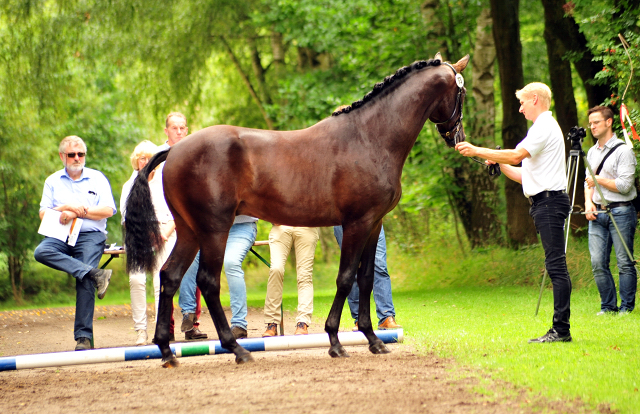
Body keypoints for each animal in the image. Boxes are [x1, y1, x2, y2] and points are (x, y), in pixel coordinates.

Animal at [127, 54, 470, 366]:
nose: (457, 138)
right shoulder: (357, 223)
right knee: (208, 282)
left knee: (170, 276)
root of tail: (174, 151)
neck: (370, 138)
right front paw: (335, 342)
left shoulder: (374, 224)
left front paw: (373, 340)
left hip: (189, 232)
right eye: (462, 93)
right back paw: (236, 350)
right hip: (214, 230)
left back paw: (166, 351)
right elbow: (346, 278)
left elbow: (366, 278)